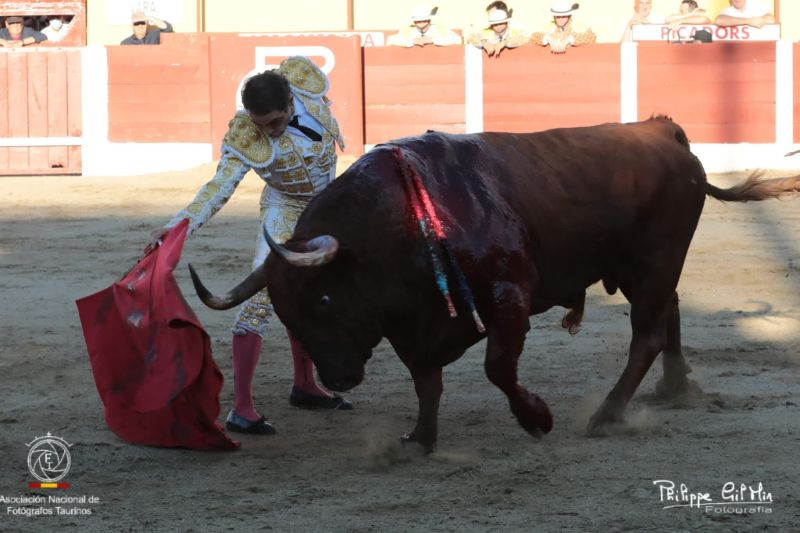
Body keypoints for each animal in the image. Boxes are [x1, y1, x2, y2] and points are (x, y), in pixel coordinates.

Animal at [189, 118, 800, 450]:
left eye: (323, 297)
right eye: (289, 316)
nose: (338, 378)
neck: (398, 224)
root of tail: (661, 130)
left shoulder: (510, 296)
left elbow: (496, 368)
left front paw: (538, 419)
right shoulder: (413, 323)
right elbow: (426, 381)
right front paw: (420, 440)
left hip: (652, 262)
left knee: (647, 334)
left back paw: (605, 416)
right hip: (651, 268)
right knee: (670, 311)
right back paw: (675, 389)